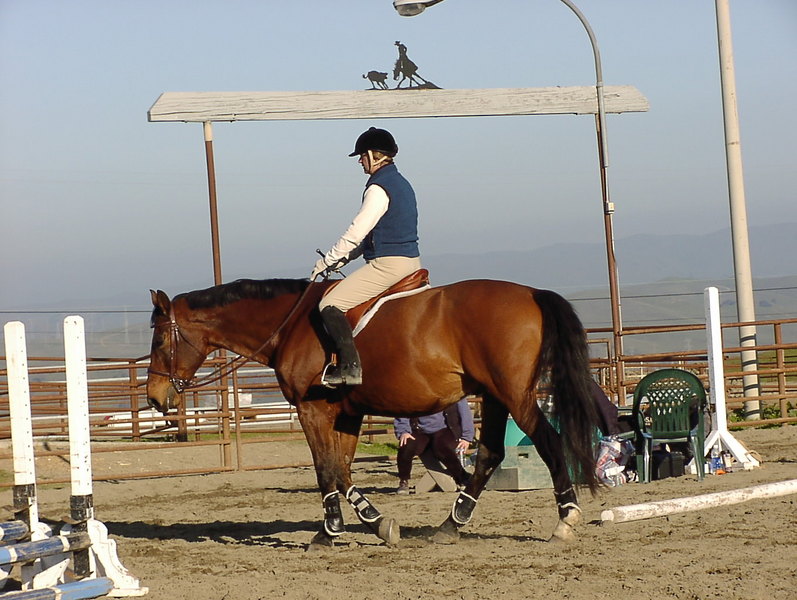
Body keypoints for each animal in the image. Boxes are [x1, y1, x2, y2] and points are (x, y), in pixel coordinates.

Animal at [146, 277, 601, 550]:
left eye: (159, 340)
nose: (154, 398)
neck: (289, 326)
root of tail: (531, 293)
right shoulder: (345, 413)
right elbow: (343, 470)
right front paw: (373, 522)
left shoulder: (312, 410)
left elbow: (326, 469)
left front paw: (329, 532)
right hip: (492, 396)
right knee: (489, 454)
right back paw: (451, 525)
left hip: (513, 394)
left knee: (548, 442)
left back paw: (566, 519)